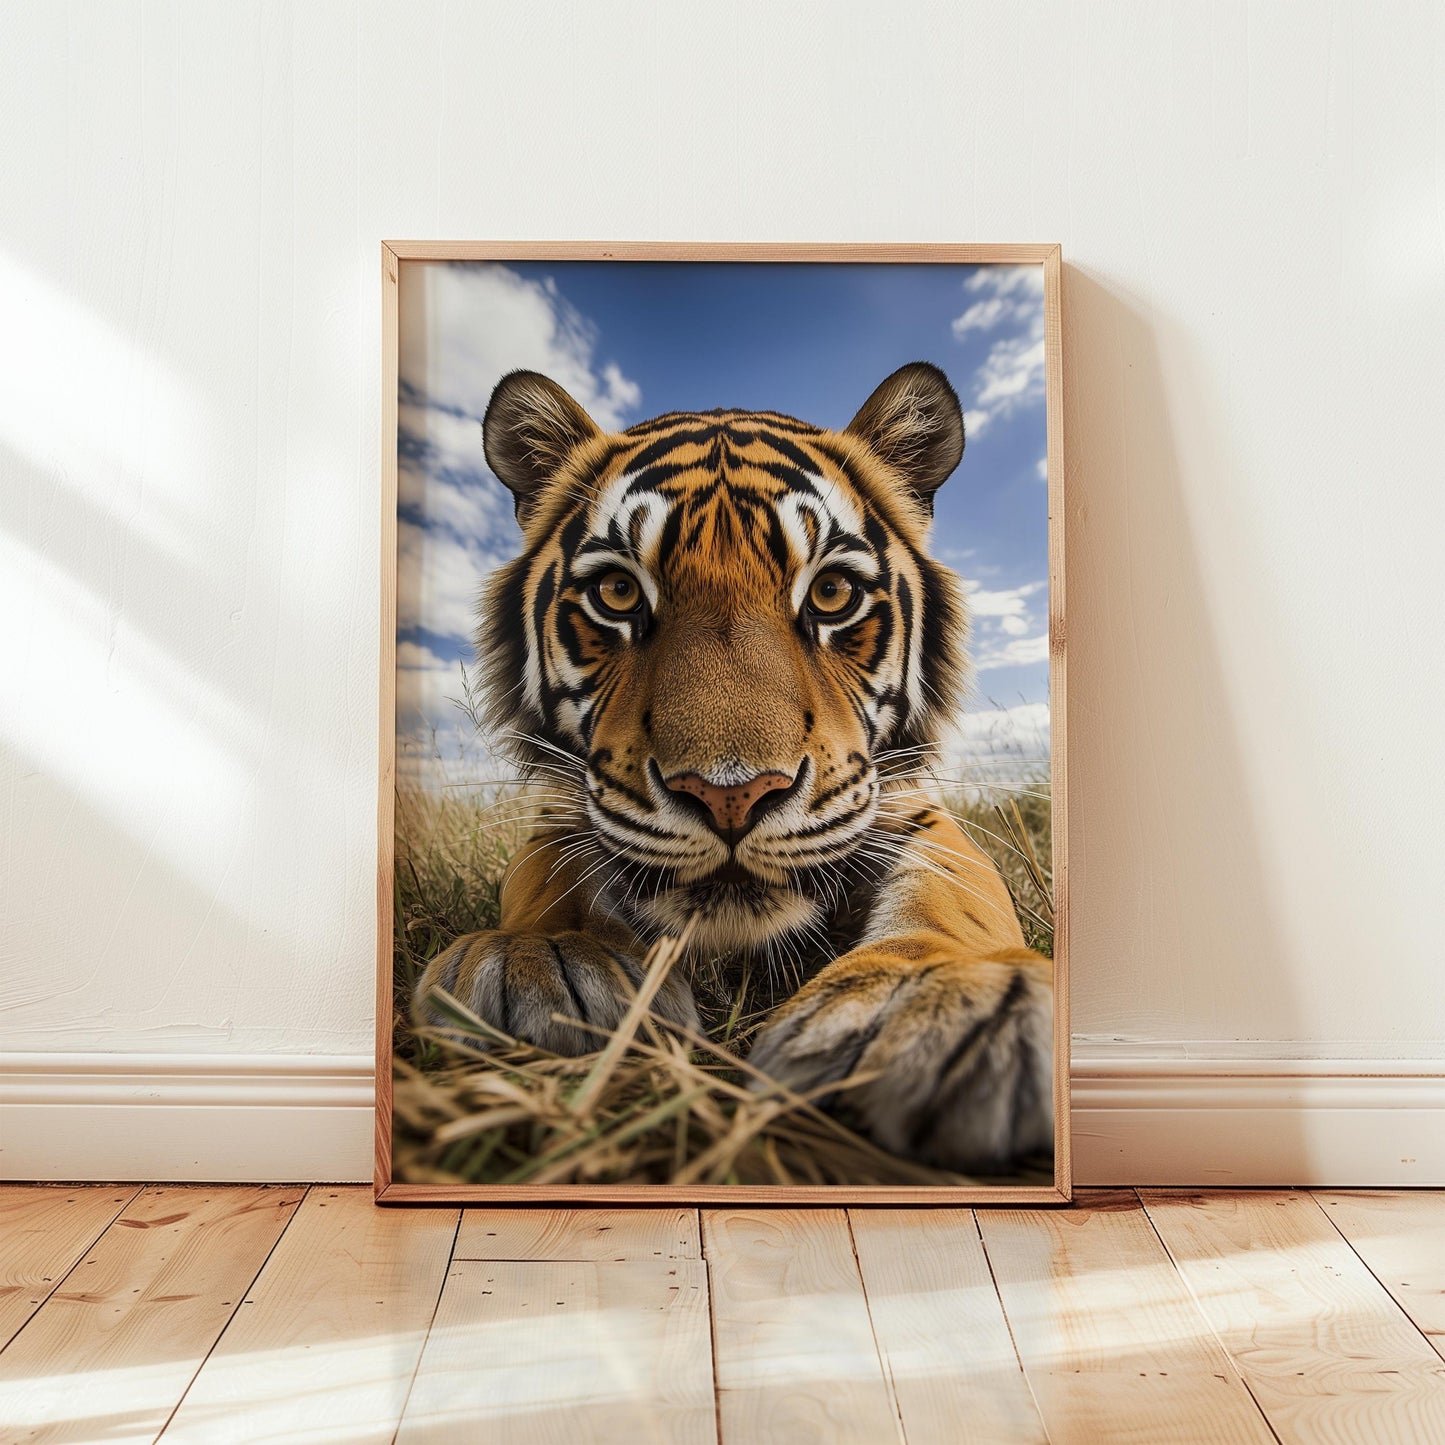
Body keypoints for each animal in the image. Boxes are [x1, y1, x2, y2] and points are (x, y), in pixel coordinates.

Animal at [414, 361, 1053, 1174]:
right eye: (617, 592)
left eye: (832, 593)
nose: (731, 795)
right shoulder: (568, 810)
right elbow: (550, 879)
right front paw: (545, 962)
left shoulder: (910, 808)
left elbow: (953, 891)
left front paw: (945, 1004)